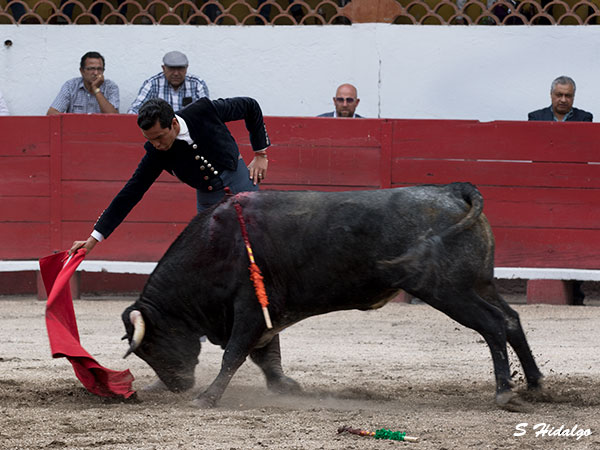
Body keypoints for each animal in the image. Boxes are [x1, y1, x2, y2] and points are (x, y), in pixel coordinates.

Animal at [122, 184, 544, 412]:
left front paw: (207, 398)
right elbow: (262, 353)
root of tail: (452, 190)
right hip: (479, 284)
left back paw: (505, 393)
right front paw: (284, 388)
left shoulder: (250, 308)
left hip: (449, 291)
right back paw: (536, 385)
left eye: (151, 346)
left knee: (492, 324)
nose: (177, 386)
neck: (214, 245)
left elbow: (235, 354)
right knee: (511, 320)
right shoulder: (266, 313)